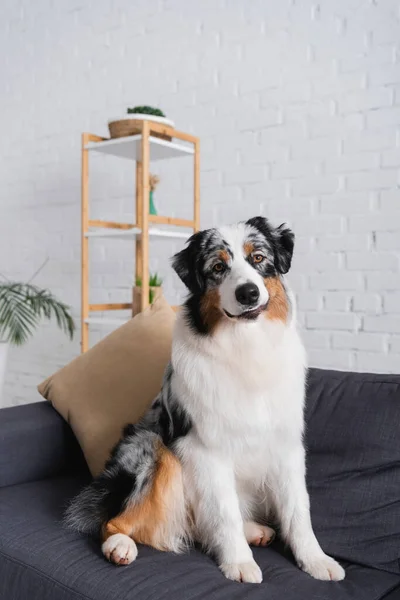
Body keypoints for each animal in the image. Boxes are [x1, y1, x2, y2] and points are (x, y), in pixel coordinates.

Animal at [65, 218, 344, 584]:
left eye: (258, 258)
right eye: (218, 267)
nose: (248, 293)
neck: (245, 348)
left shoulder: (286, 445)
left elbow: (298, 510)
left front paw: (315, 560)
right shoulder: (206, 449)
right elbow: (224, 513)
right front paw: (239, 563)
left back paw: (254, 530)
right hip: (153, 447)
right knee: (114, 520)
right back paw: (120, 545)